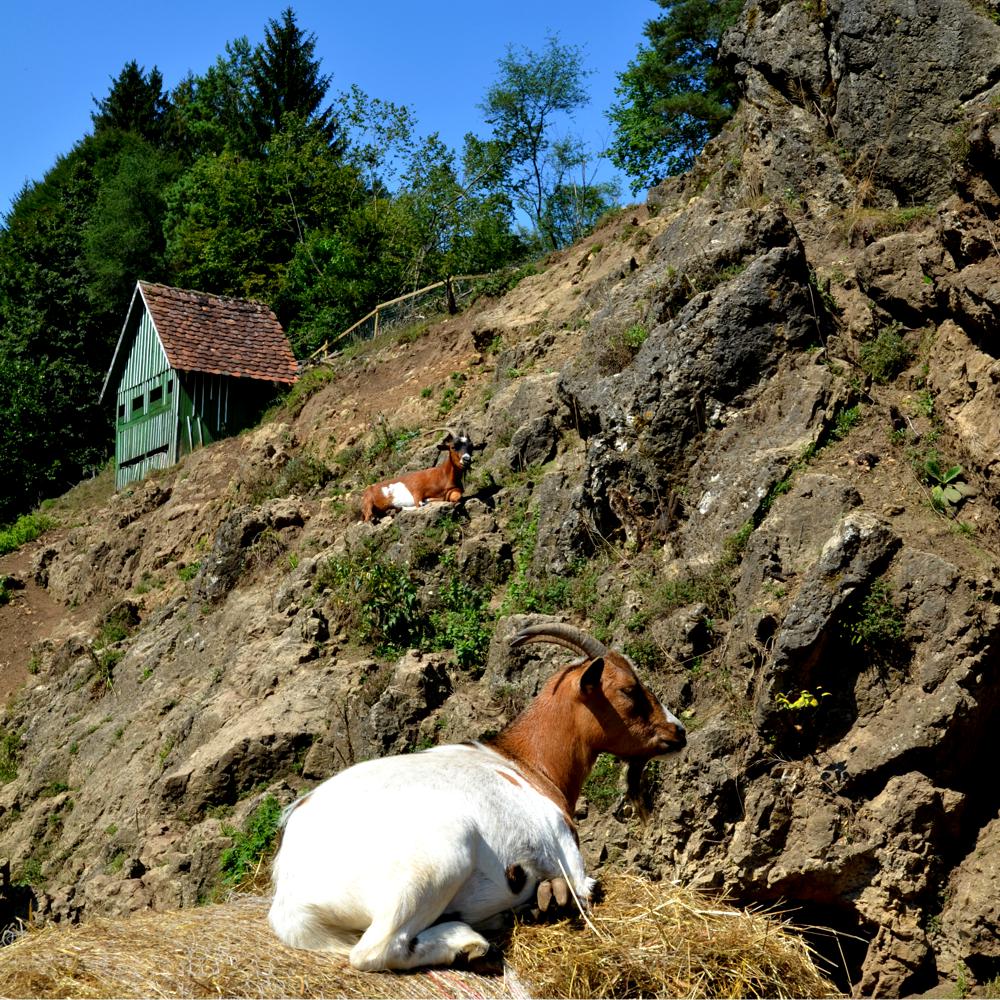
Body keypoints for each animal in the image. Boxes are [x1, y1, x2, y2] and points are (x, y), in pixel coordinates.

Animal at [268, 620, 688, 972]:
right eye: (630, 690)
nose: (678, 731)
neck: (525, 763)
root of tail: (292, 892)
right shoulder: (567, 849)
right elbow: (588, 889)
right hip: (437, 861)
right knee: (375, 950)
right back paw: (468, 944)